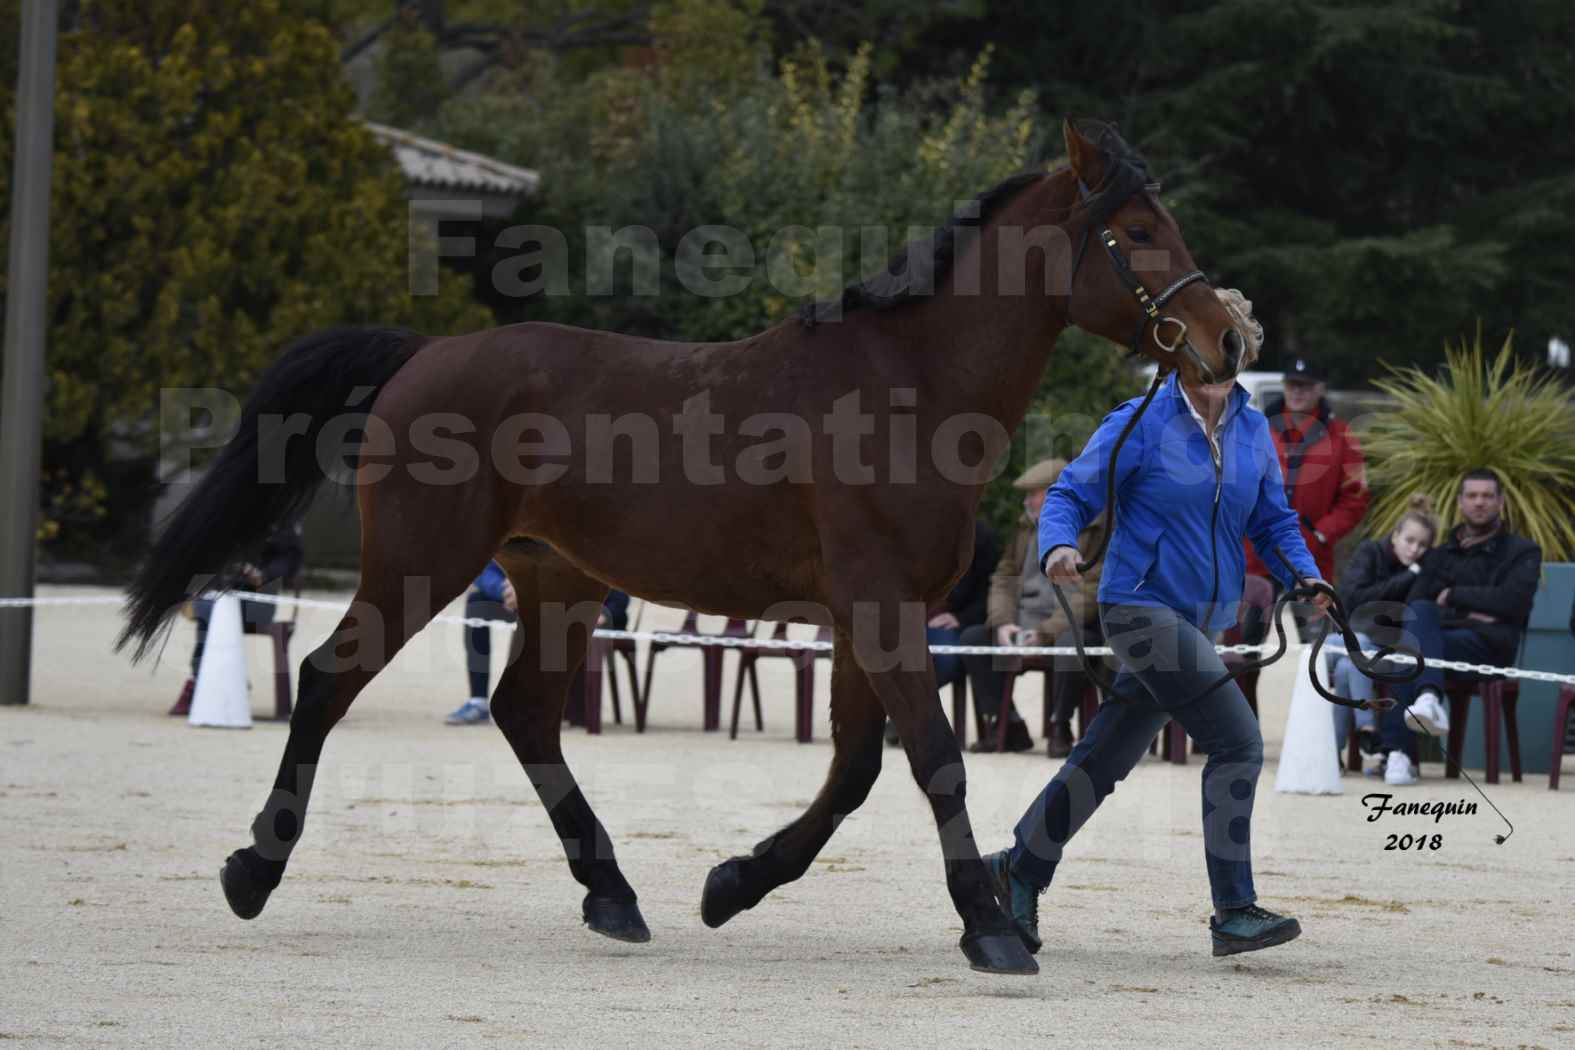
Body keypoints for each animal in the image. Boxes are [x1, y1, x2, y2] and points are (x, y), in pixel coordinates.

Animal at [119, 121, 1241, 976]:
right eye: (1137, 229)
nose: (1227, 340)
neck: (913, 388)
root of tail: (425, 353)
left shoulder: (864, 618)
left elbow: (853, 770)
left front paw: (731, 884)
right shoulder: (879, 608)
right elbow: (934, 761)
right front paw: (990, 929)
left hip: (557, 582)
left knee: (525, 713)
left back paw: (613, 894)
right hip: (420, 569)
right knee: (325, 679)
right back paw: (253, 872)